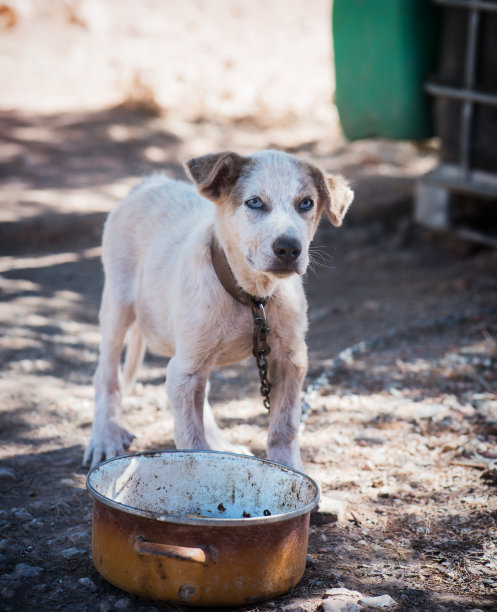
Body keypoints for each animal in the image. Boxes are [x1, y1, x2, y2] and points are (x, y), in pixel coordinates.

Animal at [82, 151, 352, 470]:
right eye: (254, 202)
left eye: (306, 203)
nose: (288, 248)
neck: (251, 298)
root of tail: (149, 182)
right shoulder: (184, 370)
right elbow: (190, 439)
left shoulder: (291, 357)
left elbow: (284, 427)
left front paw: (291, 469)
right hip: (118, 304)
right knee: (106, 375)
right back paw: (105, 437)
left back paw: (221, 445)